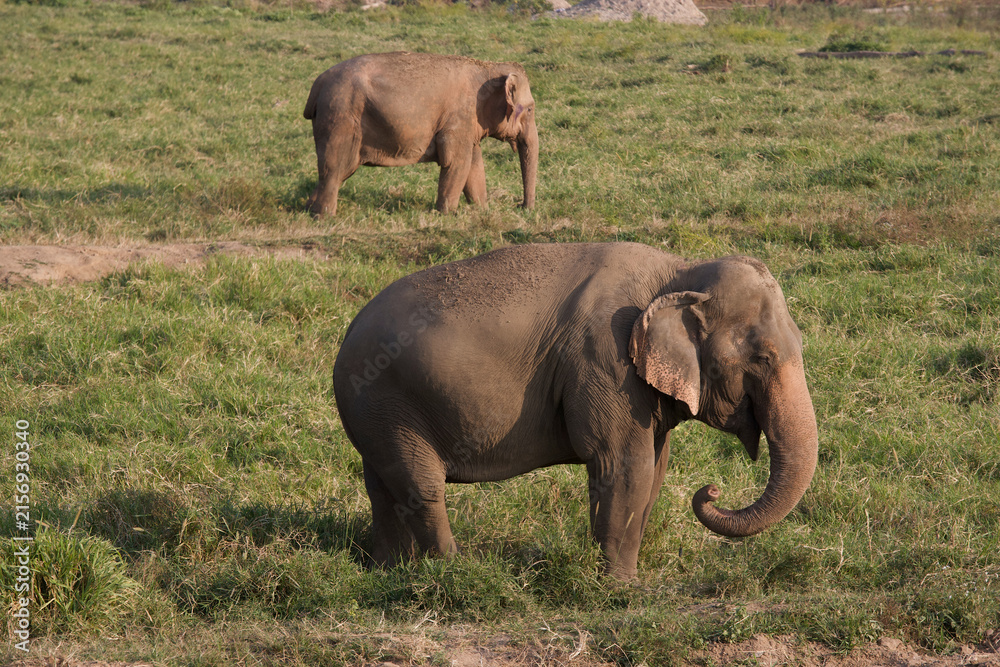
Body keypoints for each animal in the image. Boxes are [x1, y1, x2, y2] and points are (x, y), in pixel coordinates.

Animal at [303, 52, 538, 217]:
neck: (486, 67)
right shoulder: (458, 117)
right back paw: (324, 217)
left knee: (339, 171)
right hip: (340, 118)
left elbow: (473, 164)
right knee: (334, 169)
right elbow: (457, 162)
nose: (521, 207)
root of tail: (317, 86)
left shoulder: (468, 123)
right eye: (530, 109)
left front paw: (481, 210)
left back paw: (308, 209)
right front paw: (446, 214)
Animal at [333, 242, 819, 579]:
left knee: (384, 486)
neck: (678, 270)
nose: (712, 490)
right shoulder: (604, 362)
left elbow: (655, 466)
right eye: (763, 357)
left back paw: (388, 570)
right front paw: (622, 588)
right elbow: (623, 465)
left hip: (377, 415)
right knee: (423, 487)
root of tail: (348, 332)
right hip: (390, 405)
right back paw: (453, 569)